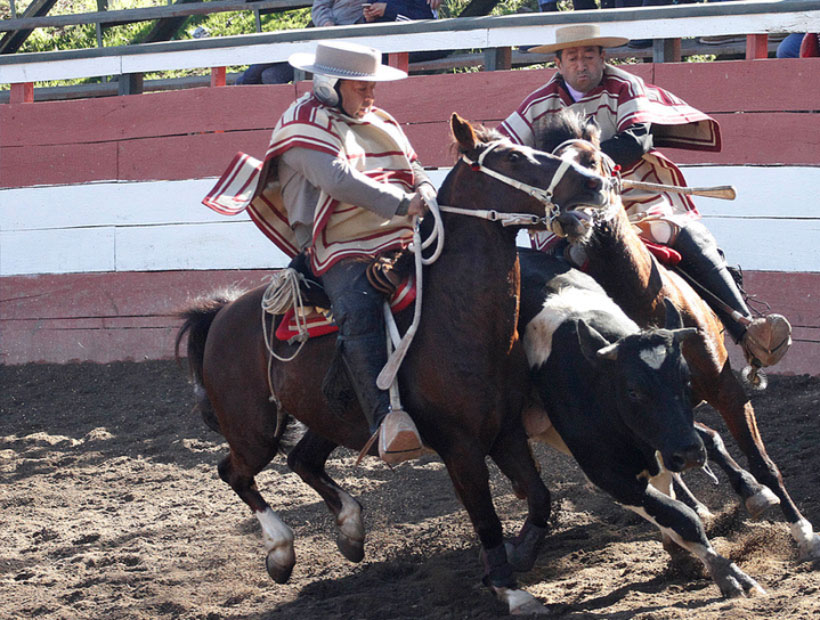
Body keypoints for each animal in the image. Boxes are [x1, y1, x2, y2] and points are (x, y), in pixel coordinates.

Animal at [175, 114, 608, 612]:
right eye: (513, 157)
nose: (595, 182)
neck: (458, 319)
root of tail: (222, 312)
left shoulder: (506, 430)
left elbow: (539, 496)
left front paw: (520, 555)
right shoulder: (460, 447)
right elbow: (486, 518)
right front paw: (510, 589)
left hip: (327, 417)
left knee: (302, 460)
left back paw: (350, 529)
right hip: (253, 429)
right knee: (235, 472)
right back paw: (281, 551)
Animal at [520, 249, 764, 600]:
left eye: (686, 378)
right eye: (633, 391)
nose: (690, 454)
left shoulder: (663, 447)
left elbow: (675, 502)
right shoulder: (612, 476)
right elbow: (682, 518)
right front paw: (729, 575)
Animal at [532, 111, 820, 560]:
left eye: (594, 164)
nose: (569, 218)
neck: (642, 300)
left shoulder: (724, 388)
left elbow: (760, 459)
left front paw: (803, 531)